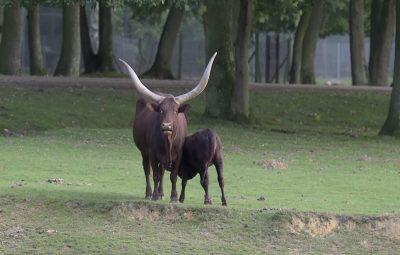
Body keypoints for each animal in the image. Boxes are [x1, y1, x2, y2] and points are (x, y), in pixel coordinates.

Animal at [119, 52, 217, 202]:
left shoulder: (179, 155)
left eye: (176, 111)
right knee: (148, 170)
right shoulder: (152, 153)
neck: (168, 142)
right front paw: (154, 195)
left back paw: (162, 193)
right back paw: (149, 193)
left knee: (162, 171)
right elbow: (155, 174)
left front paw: (173, 197)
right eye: (160, 110)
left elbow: (173, 176)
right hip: (144, 151)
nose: (166, 126)